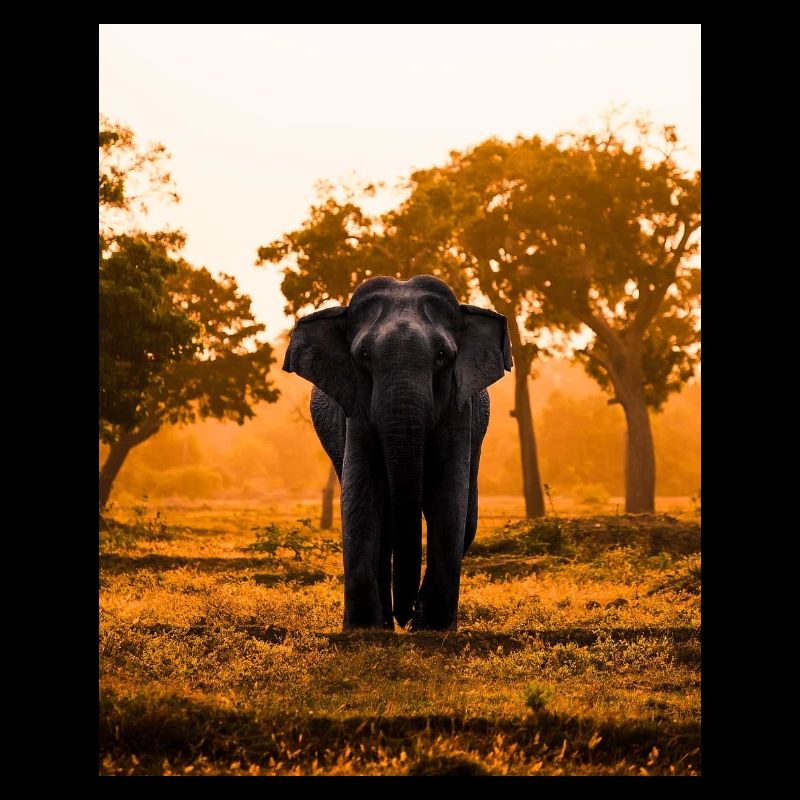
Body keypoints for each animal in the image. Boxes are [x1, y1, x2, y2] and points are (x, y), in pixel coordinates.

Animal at [283, 275, 512, 630]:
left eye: (442, 354)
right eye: (363, 355)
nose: (404, 616)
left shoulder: (461, 411)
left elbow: (450, 498)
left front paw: (432, 627)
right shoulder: (355, 413)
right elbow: (361, 494)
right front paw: (364, 629)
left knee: (466, 517)